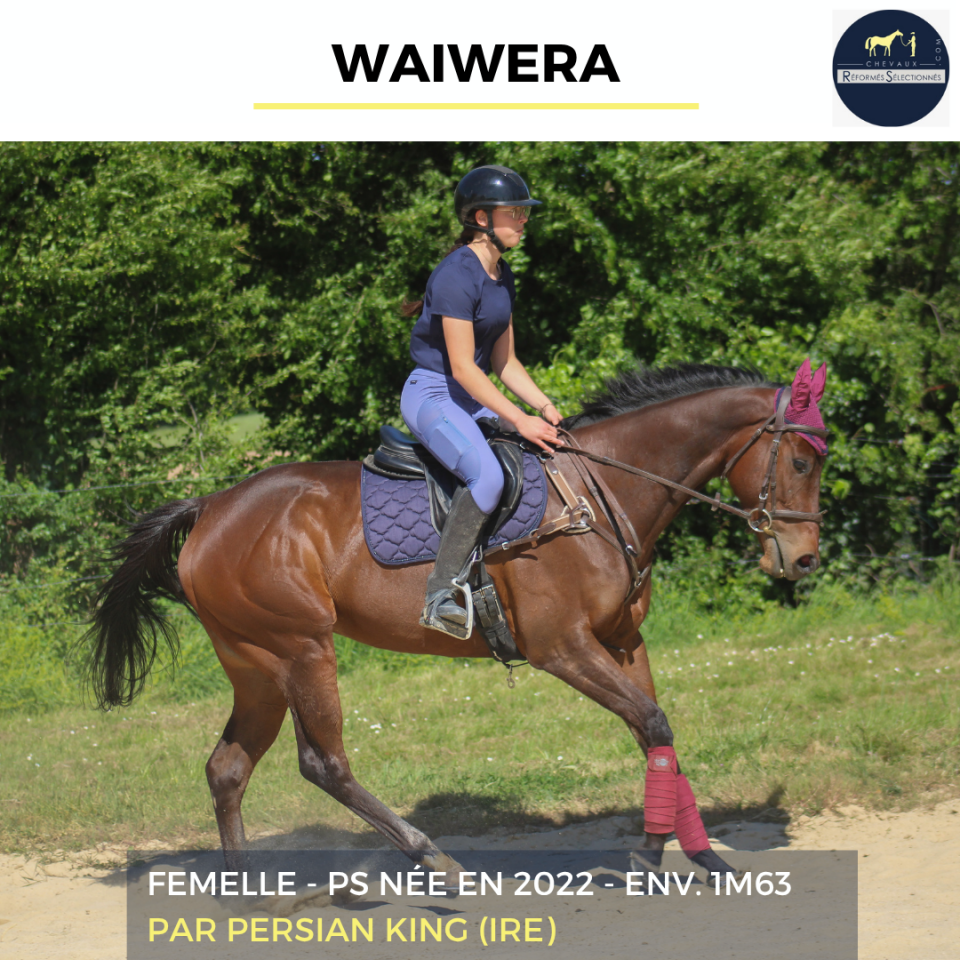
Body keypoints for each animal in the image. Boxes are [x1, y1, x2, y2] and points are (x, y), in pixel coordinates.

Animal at [86, 360, 828, 888]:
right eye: (800, 460)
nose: (803, 559)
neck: (604, 494)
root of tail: (209, 507)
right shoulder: (564, 649)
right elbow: (650, 722)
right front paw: (651, 854)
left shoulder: (623, 642)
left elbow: (658, 734)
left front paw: (700, 855)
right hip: (300, 650)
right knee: (323, 763)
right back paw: (430, 859)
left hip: (256, 667)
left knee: (228, 768)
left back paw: (253, 895)